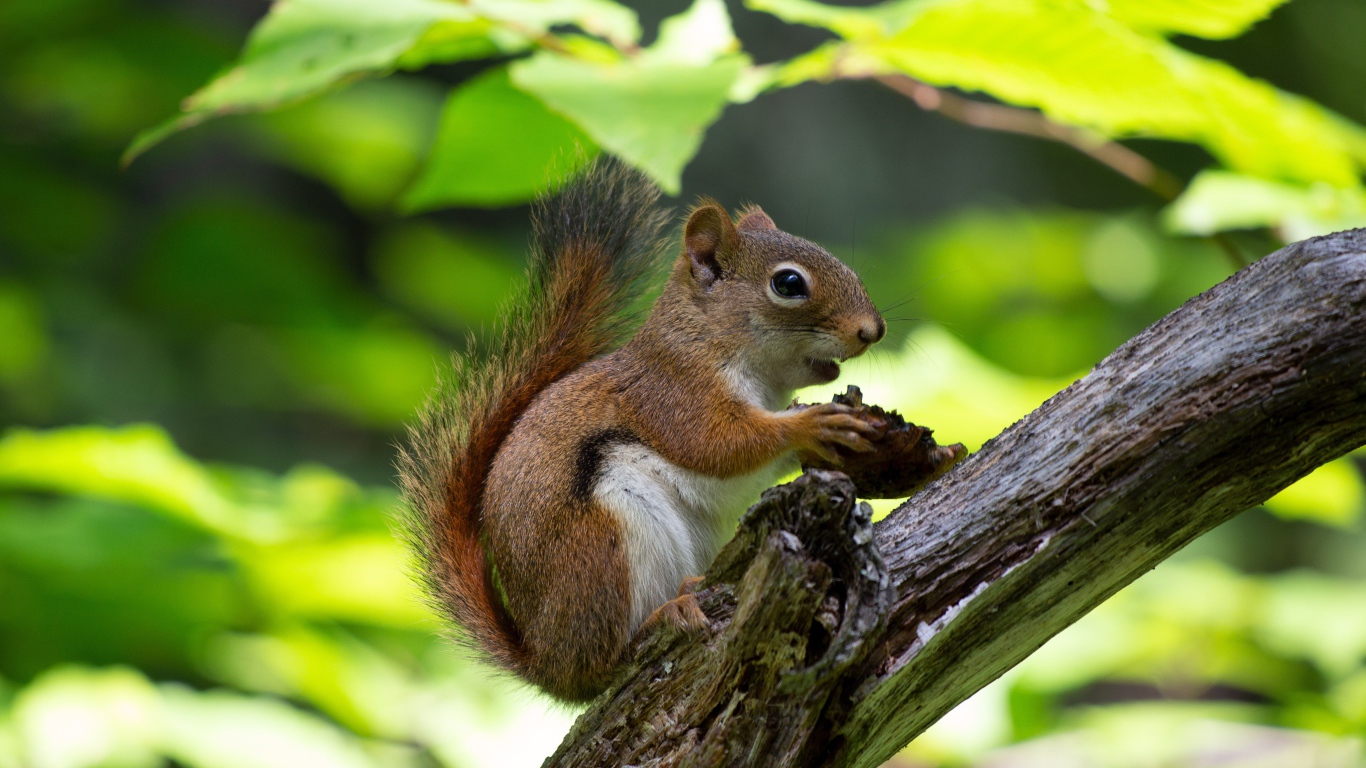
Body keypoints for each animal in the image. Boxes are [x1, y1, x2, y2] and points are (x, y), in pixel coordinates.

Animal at [396, 158, 885, 705]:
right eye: (788, 284)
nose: (873, 330)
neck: (705, 339)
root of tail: (548, 664)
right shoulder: (672, 395)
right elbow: (719, 445)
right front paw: (811, 423)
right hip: (603, 546)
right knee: (605, 662)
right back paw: (663, 615)